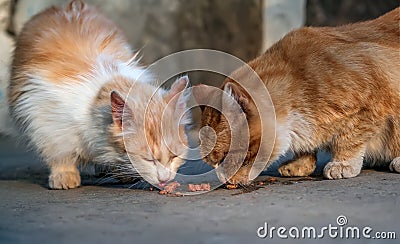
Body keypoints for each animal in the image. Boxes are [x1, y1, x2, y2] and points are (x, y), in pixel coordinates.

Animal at [8, 0, 191, 189]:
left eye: (174, 157)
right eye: (148, 159)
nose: (164, 180)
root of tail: (70, 5)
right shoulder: (44, 119)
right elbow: (59, 154)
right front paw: (64, 175)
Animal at [197, 7, 400, 185]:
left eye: (224, 157)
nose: (223, 180)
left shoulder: (372, 100)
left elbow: (350, 138)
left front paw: (342, 163)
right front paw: (300, 163)